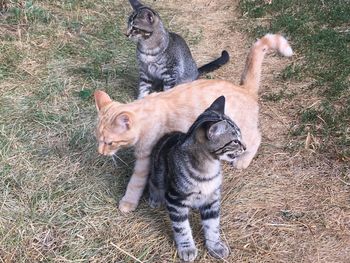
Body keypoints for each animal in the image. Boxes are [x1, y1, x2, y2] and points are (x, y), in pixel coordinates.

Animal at [93, 34, 292, 213]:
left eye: (109, 142)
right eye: (98, 139)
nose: (100, 152)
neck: (146, 109)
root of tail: (244, 88)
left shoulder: (145, 158)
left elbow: (135, 183)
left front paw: (128, 203)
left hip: (243, 131)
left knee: (256, 139)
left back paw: (243, 161)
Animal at [149, 96, 245, 260]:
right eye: (235, 141)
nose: (245, 147)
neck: (209, 170)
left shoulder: (212, 199)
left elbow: (212, 225)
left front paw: (215, 246)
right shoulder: (175, 199)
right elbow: (182, 228)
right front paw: (187, 248)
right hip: (157, 173)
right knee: (153, 183)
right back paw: (154, 199)